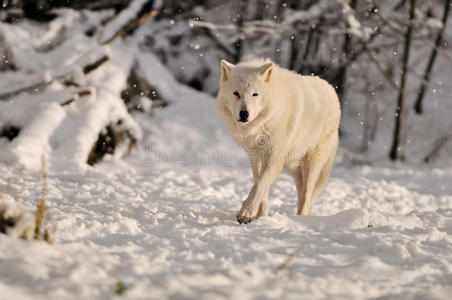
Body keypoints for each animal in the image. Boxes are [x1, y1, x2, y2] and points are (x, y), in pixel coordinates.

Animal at [217, 58, 340, 224]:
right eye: (236, 93)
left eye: (255, 94)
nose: (244, 114)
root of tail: (332, 90)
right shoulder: (256, 157)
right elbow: (260, 184)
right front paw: (261, 216)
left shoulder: (275, 157)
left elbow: (260, 184)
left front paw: (246, 213)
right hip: (293, 166)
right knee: (302, 194)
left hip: (312, 163)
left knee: (307, 195)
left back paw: (302, 219)